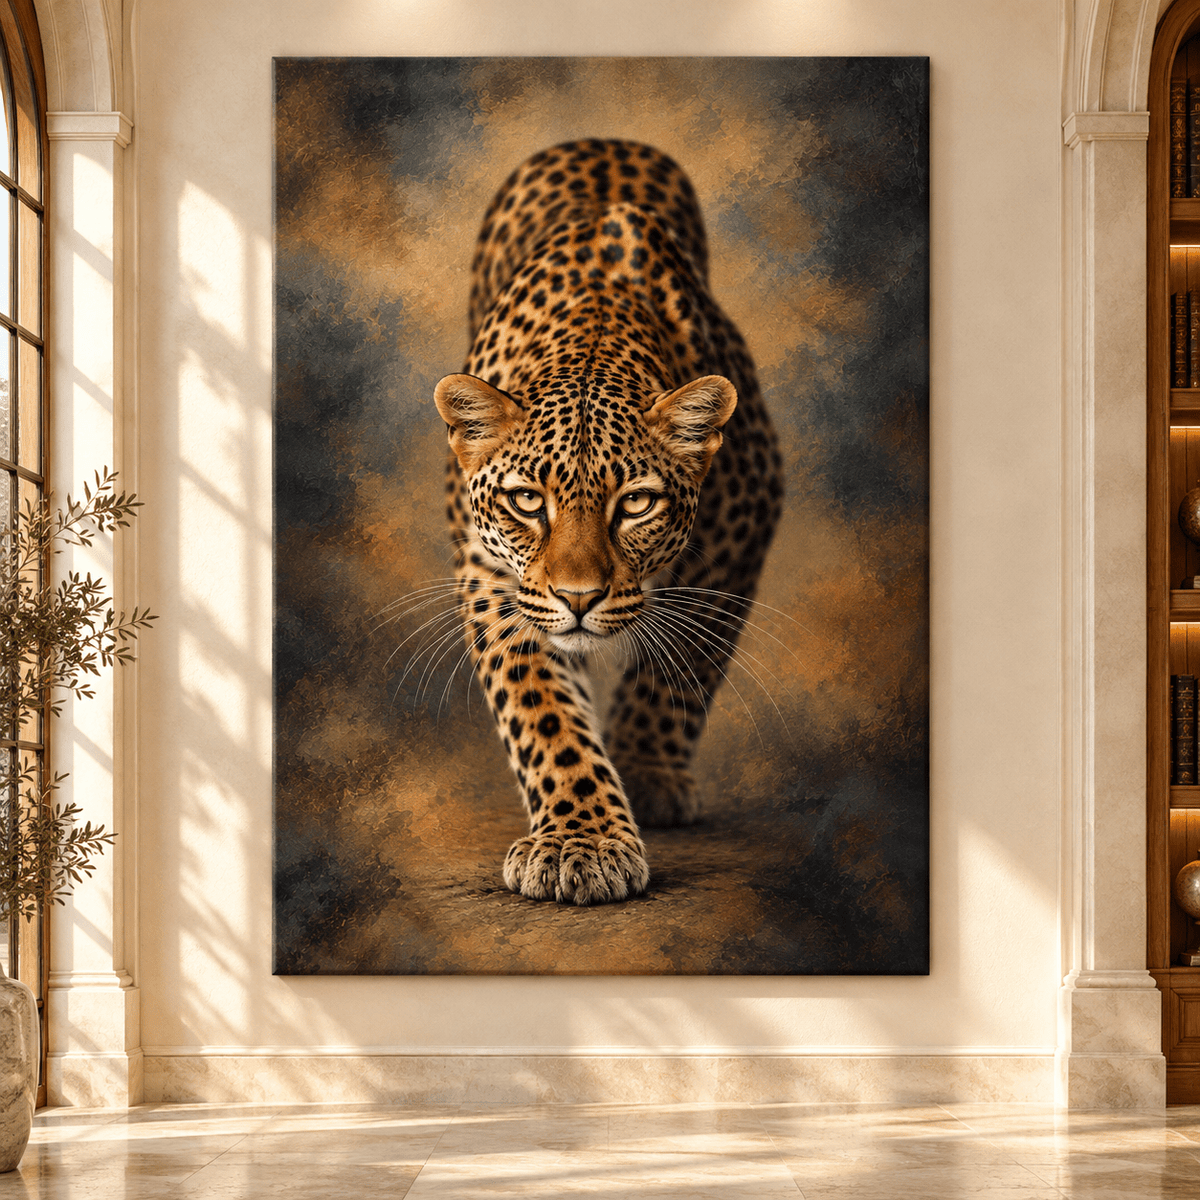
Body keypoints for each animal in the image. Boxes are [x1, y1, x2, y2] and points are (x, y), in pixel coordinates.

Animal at [433, 138, 783, 905]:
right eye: (527, 501)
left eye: (636, 504)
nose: (579, 598)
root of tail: (597, 139)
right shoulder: (494, 576)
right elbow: (542, 711)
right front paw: (582, 842)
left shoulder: (741, 527)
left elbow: (686, 663)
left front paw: (645, 774)